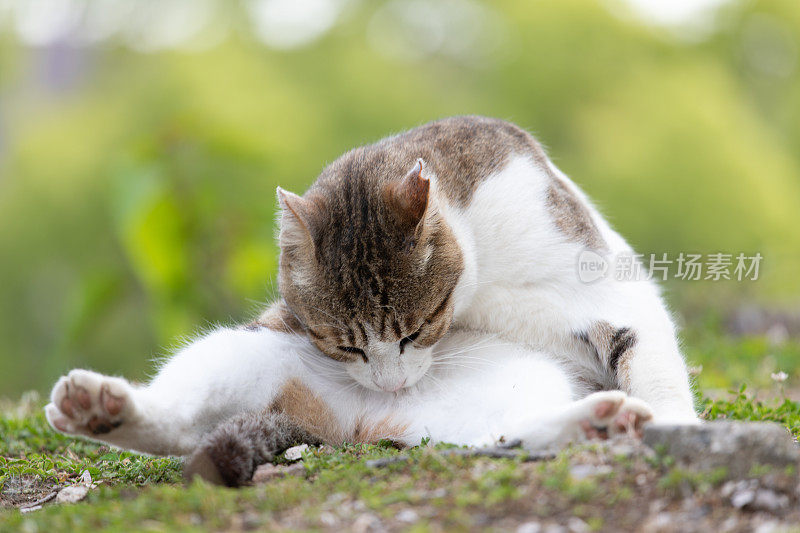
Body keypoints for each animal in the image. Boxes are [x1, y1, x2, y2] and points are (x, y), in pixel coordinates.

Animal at [45, 116, 692, 486]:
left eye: (417, 329)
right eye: (343, 346)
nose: (392, 384)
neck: (479, 281)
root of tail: (354, 425)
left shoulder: (609, 291)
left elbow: (652, 363)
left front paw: (676, 425)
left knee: (505, 438)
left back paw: (600, 424)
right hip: (240, 350)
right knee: (180, 426)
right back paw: (98, 409)